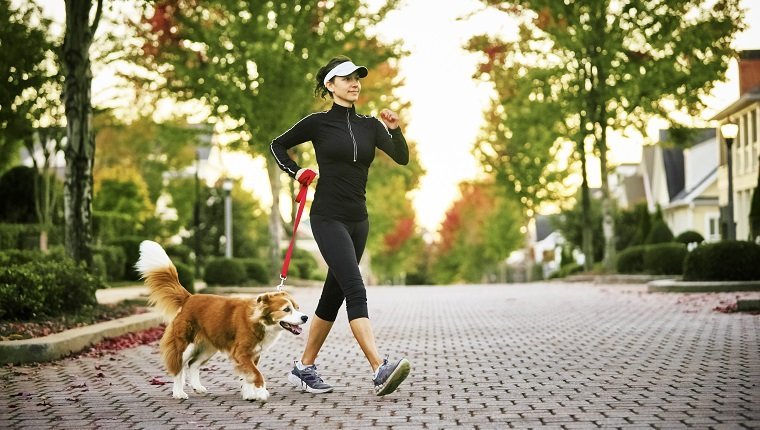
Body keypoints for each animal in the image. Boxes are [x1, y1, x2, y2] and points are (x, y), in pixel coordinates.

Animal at [135, 240, 308, 402]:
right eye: (286, 309)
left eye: (297, 307)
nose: (305, 317)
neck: (260, 321)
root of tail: (189, 298)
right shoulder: (241, 352)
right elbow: (256, 374)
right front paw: (260, 392)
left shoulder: (253, 354)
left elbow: (248, 375)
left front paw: (249, 394)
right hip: (184, 344)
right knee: (179, 367)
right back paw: (178, 393)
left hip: (208, 347)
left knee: (193, 364)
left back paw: (197, 387)